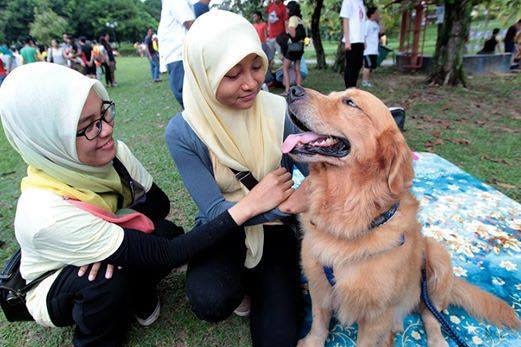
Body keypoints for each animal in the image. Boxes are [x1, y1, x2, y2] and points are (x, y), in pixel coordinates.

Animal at [280, 87, 520, 347]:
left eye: (350, 102)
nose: (292, 90)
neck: (346, 210)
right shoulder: (318, 285)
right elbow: (319, 323)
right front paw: (311, 341)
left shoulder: (376, 314)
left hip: (437, 257)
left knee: (431, 315)